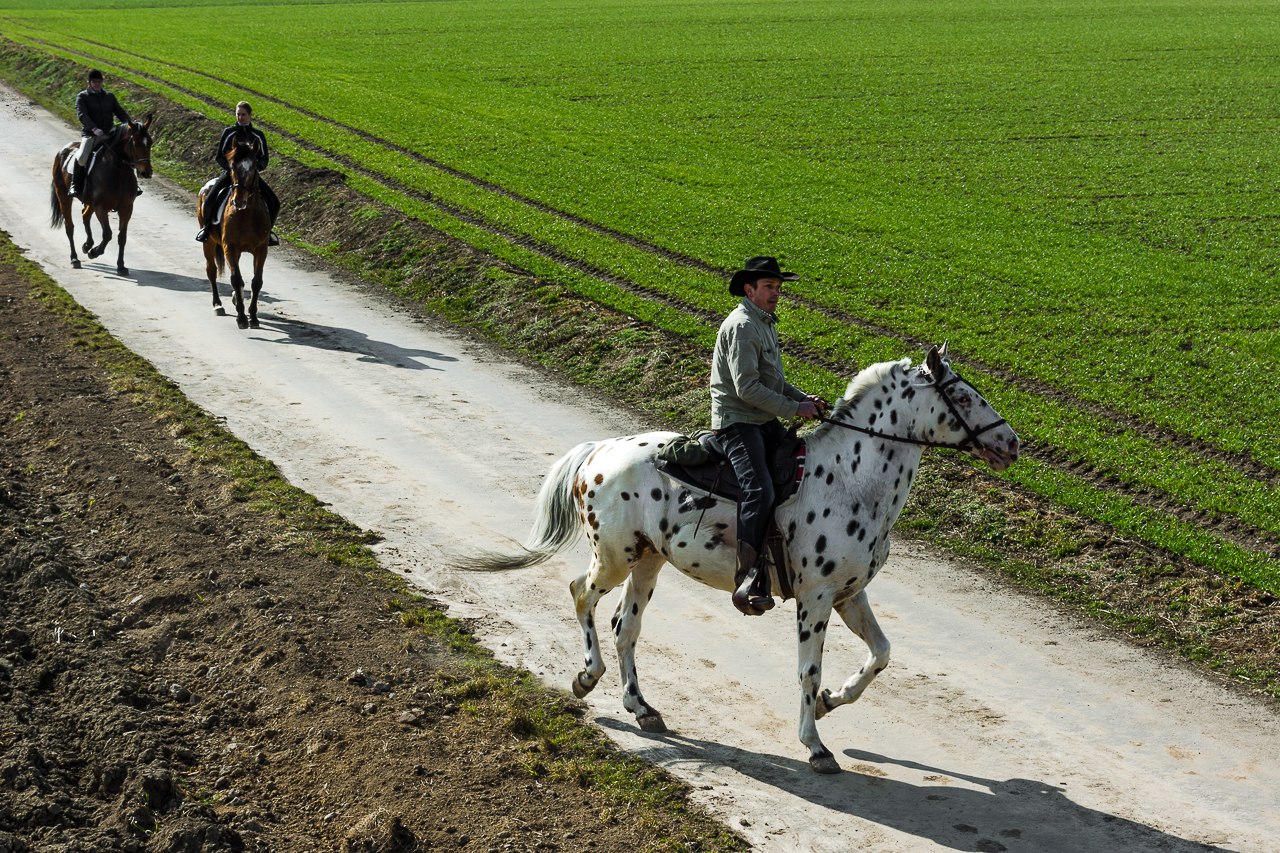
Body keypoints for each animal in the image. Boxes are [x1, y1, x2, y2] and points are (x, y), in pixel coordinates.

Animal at [48, 116, 153, 274]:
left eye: (151, 142)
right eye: (136, 143)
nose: (146, 173)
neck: (118, 171)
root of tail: (64, 149)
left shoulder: (127, 208)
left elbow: (122, 237)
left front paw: (121, 266)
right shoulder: (101, 208)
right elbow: (108, 234)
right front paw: (95, 252)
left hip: (90, 202)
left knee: (85, 215)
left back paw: (87, 245)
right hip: (64, 197)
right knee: (69, 227)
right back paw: (75, 258)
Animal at [198, 126, 271, 327]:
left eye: (253, 168)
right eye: (231, 167)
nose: (239, 200)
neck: (246, 215)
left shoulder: (261, 248)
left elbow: (256, 281)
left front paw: (253, 316)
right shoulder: (229, 246)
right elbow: (236, 279)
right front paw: (241, 317)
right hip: (208, 242)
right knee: (212, 270)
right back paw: (218, 305)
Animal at [460, 343, 1018, 768]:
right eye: (962, 395)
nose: (1012, 443)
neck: (852, 481)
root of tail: (598, 452)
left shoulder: (848, 595)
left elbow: (880, 654)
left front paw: (832, 702)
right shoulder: (815, 598)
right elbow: (808, 670)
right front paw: (815, 745)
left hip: (649, 561)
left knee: (626, 627)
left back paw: (642, 708)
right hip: (617, 555)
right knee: (582, 594)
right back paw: (586, 677)